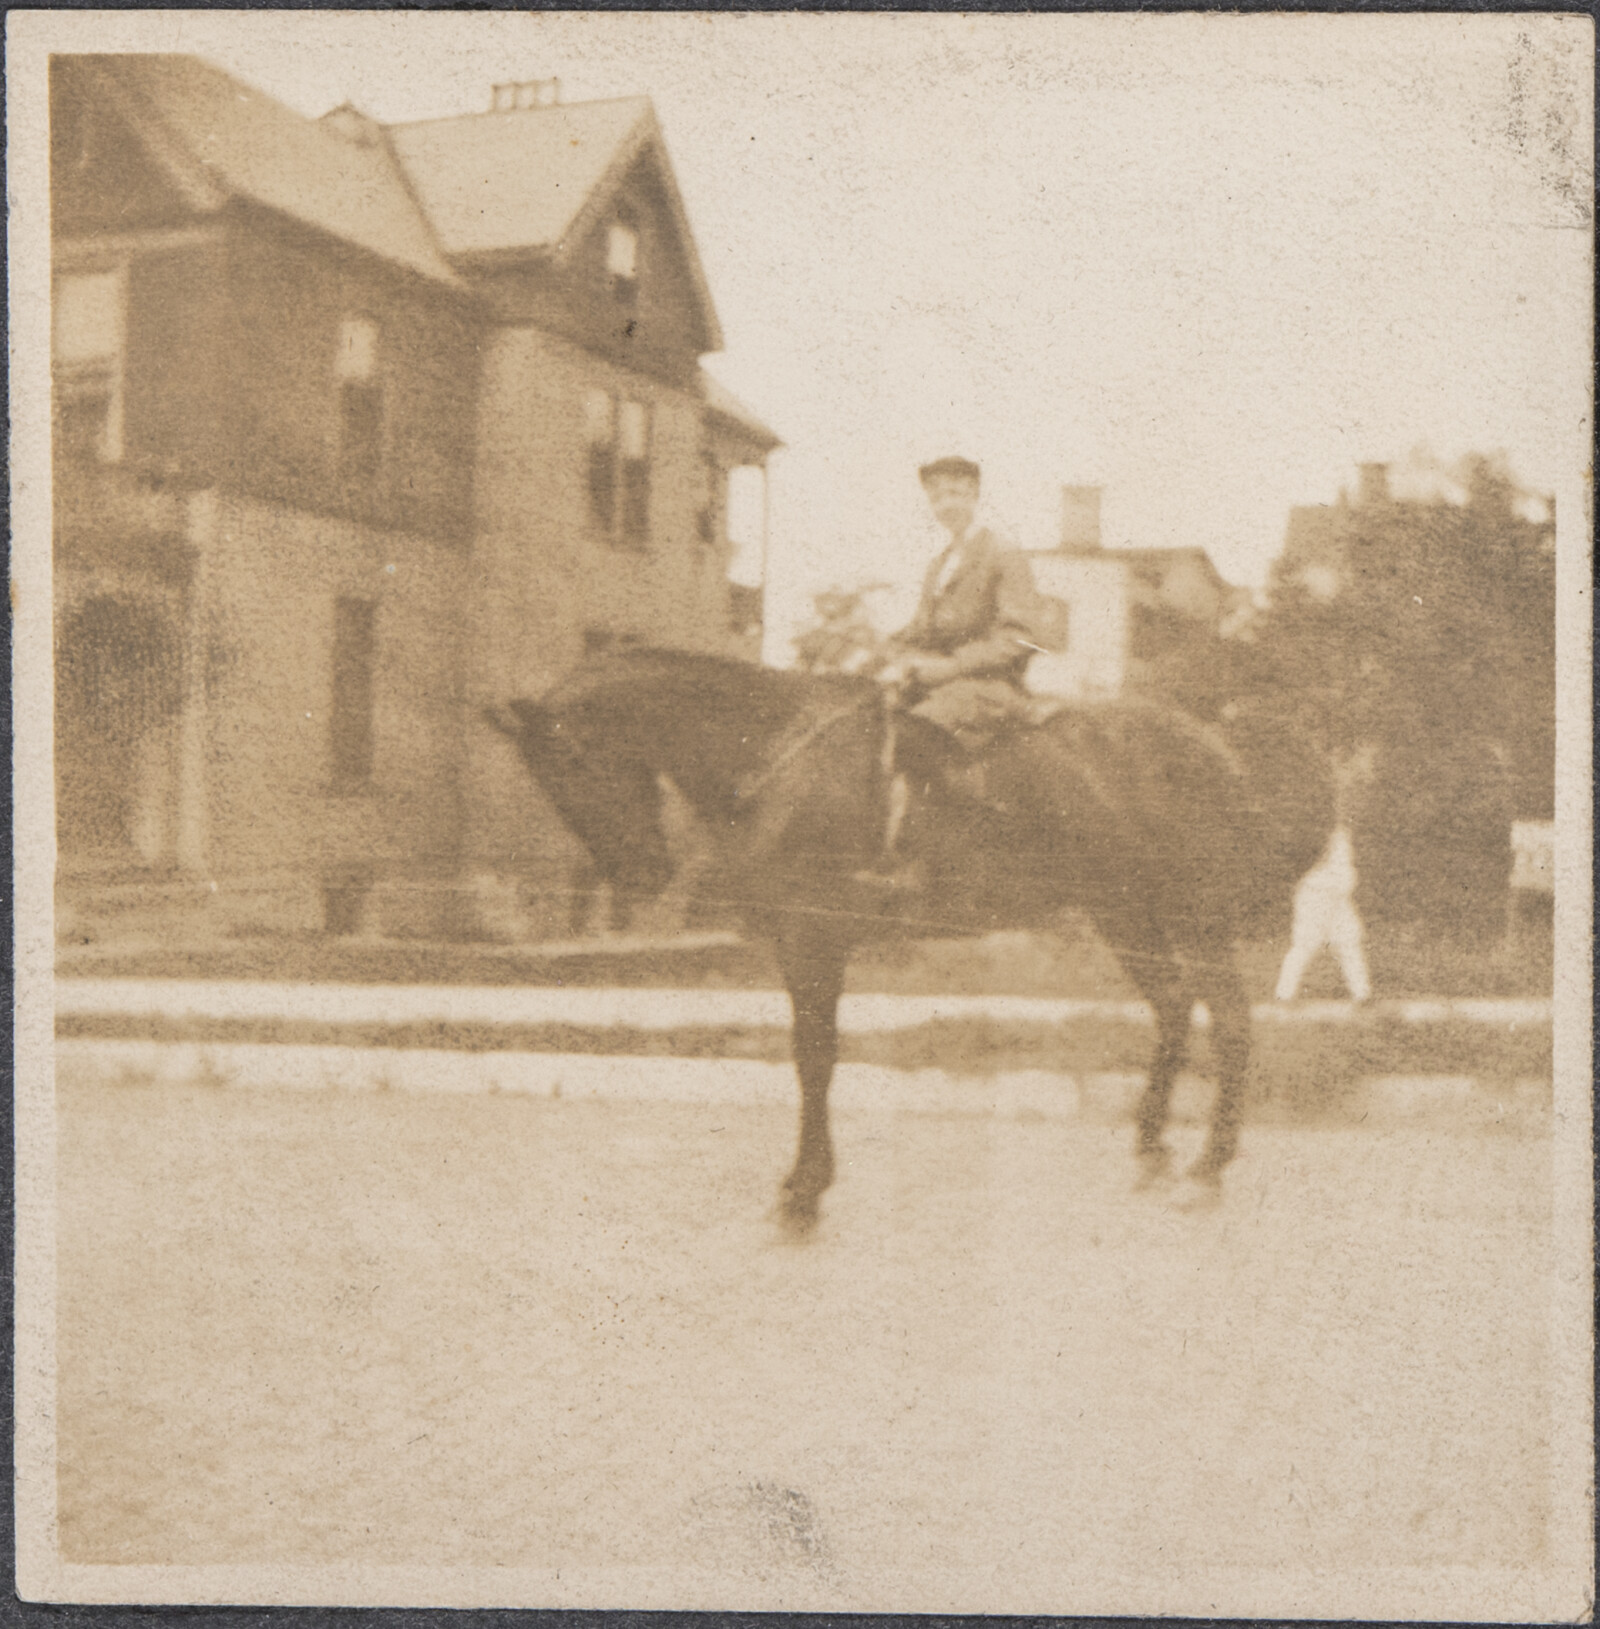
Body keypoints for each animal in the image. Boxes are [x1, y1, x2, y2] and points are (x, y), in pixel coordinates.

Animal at [485, 641, 1329, 1225]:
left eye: (575, 756)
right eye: (546, 776)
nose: (639, 874)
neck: (777, 750)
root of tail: (1214, 747)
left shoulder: (815, 939)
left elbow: (815, 1058)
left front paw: (803, 1191)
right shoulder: (797, 945)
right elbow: (811, 1056)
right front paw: (806, 1182)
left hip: (1193, 913)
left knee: (1231, 1021)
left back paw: (1208, 1167)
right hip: (1123, 914)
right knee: (1174, 1009)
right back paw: (1153, 1150)